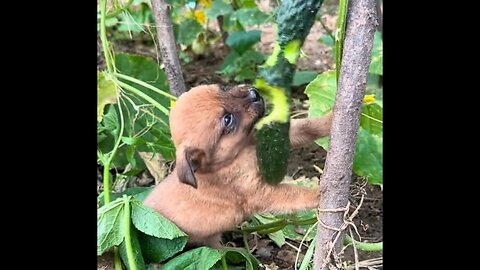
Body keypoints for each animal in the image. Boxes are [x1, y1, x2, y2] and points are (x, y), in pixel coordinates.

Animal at [142, 83, 330, 248]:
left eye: (223, 88)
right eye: (227, 120)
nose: (254, 93)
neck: (240, 152)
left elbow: (308, 126)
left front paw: (330, 118)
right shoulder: (261, 193)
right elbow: (294, 194)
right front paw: (319, 193)